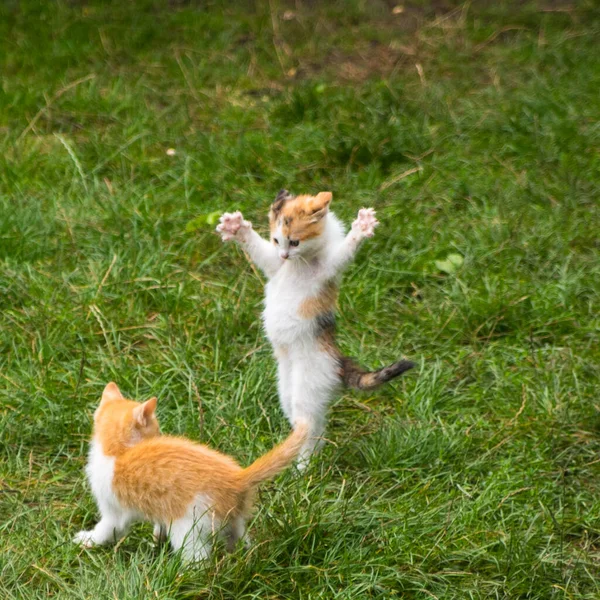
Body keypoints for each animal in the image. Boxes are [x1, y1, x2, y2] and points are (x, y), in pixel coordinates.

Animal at [74, 384, 308, 564]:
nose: (160, 435)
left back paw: (187, 576)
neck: (116, 451)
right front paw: (157, 537)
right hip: (232, 521)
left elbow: (107, 529)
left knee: (199, 561)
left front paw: (88, 540)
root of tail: (237, 479)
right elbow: (157, 525)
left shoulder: (114, 511)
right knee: (240, 540)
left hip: (188, 527)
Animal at [217, 190, 418, 466]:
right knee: (313, 424)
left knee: (309, 425)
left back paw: (303, 467)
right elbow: (260, 251)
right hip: (287, 390)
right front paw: (236, 227)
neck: (299, 263)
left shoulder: (329, 269)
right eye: (276, 240)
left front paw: (361, 228)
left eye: (295, 243)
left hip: (309, 384)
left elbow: (345, 250)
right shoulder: (274, 266)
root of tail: (338, 362)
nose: (284, 255)